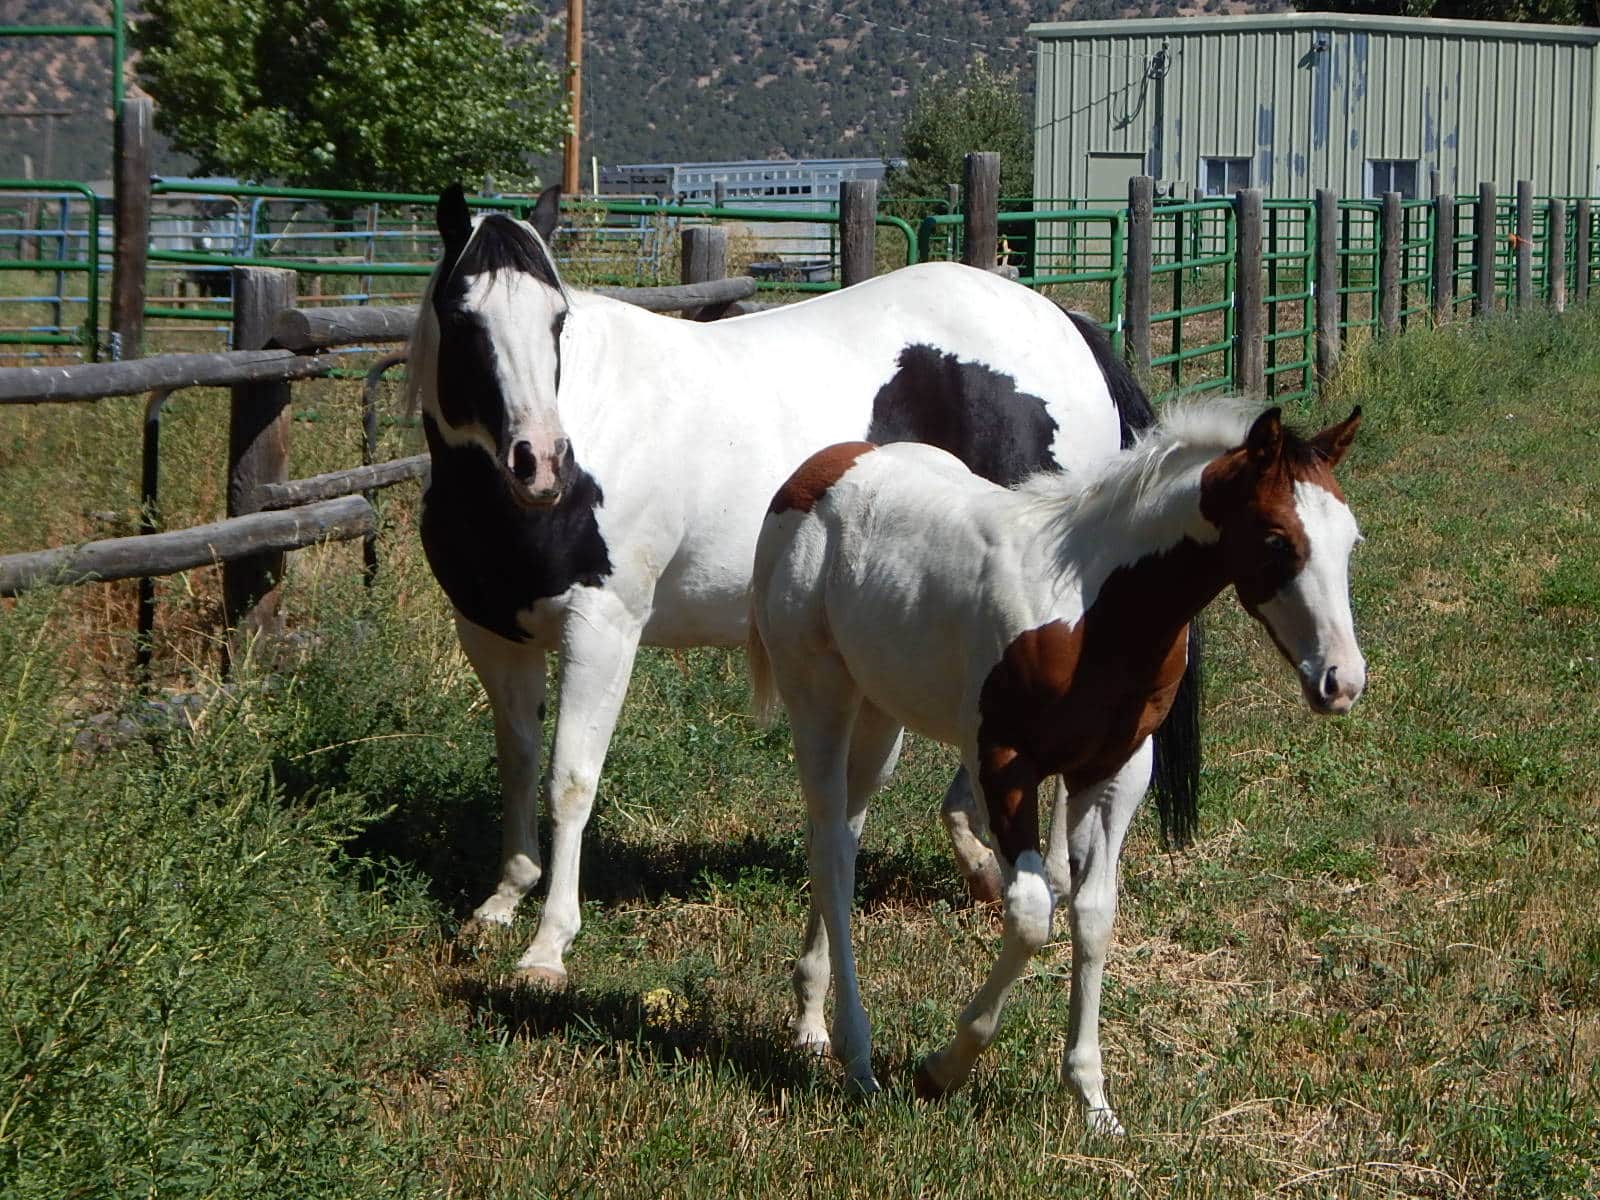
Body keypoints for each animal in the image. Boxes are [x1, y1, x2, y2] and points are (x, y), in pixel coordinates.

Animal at [407, 183, 1202, 988]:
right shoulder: (492, 633)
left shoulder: (602, 628)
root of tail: (1066, 327)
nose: (539, 460)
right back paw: (982, 859)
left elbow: (570, 779)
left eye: (557, 319)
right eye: (463, 318)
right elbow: (517, 762)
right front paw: (504, 899)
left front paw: (548, 946)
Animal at [747, 401, 1364, 1130]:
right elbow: (1032, 913)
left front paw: (1092, 1098)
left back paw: (812, 1021)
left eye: (1350, 541)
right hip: (819, 696)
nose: (1342, 681)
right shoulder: (1003, 765)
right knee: (831, 853)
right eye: (1276, 540)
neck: (1092, 611)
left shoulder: (1115, 772)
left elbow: (1093, 914)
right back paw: (858, 1057)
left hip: (880, 713)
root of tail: (817, 469)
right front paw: (941, 1069)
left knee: (840, 834)